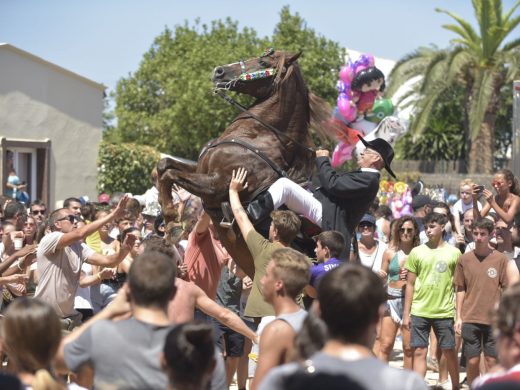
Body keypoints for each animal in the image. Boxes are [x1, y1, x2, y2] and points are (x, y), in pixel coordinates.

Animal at [158, 48, 336, 276]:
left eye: (263, 62)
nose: (219, 71)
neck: (259, 136)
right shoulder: (200, 170)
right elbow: (164, 166)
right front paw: (169, 216)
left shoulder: (217, 185)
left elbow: (170, 175)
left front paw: (172, 223)